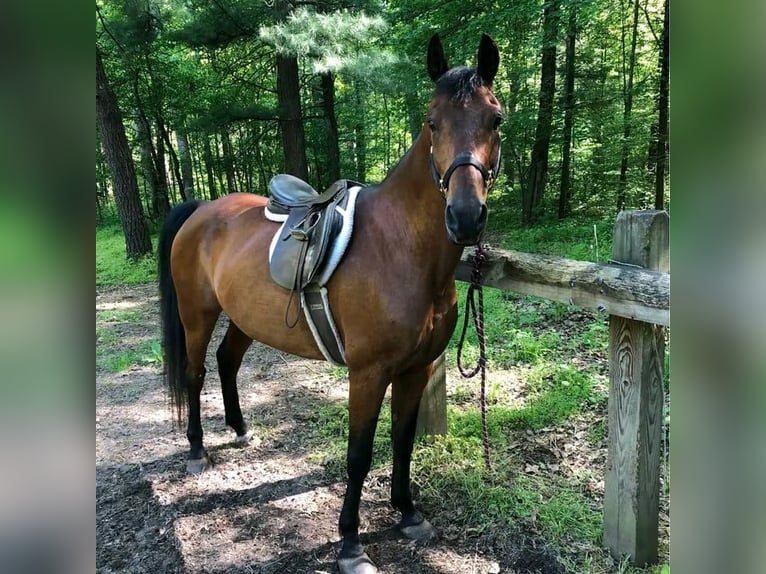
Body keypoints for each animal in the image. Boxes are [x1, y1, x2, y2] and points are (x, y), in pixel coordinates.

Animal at [158, 32, 504, 574]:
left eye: (496, 119)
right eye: (432, 122)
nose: (465, 217)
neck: (399, 248)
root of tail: (203, 210)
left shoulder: (417, 368)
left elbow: (402, 439)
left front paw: (408, 513)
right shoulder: (368, 373)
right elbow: (358, 455)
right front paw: (350, 544)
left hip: (244, 319)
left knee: (227, 361)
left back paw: (240, 428)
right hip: (197, 316)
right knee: (195, 375)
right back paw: (196, 451)